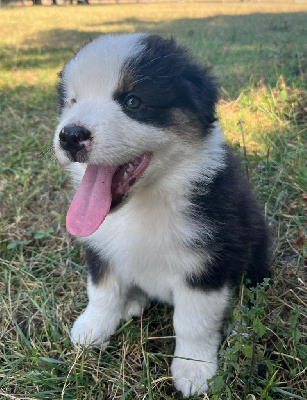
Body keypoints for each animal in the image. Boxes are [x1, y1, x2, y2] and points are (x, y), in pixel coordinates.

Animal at [54, 32, 270, 396]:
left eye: (133, 102)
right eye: (72, 101)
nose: (70, 135)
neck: (145, 204)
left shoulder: (207, 261)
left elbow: (193, 321)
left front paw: (193, 370)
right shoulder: (100, 244)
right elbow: (101, 291)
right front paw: (91, 329)